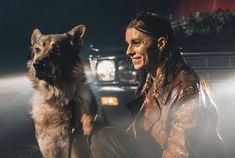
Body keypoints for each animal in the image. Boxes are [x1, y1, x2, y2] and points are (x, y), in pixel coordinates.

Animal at [27, 24, 97, 158]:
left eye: (57, 50)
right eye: (37, 50)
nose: (36, 65)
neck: (57, 99)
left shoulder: (76, 150)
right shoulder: (48, 150)